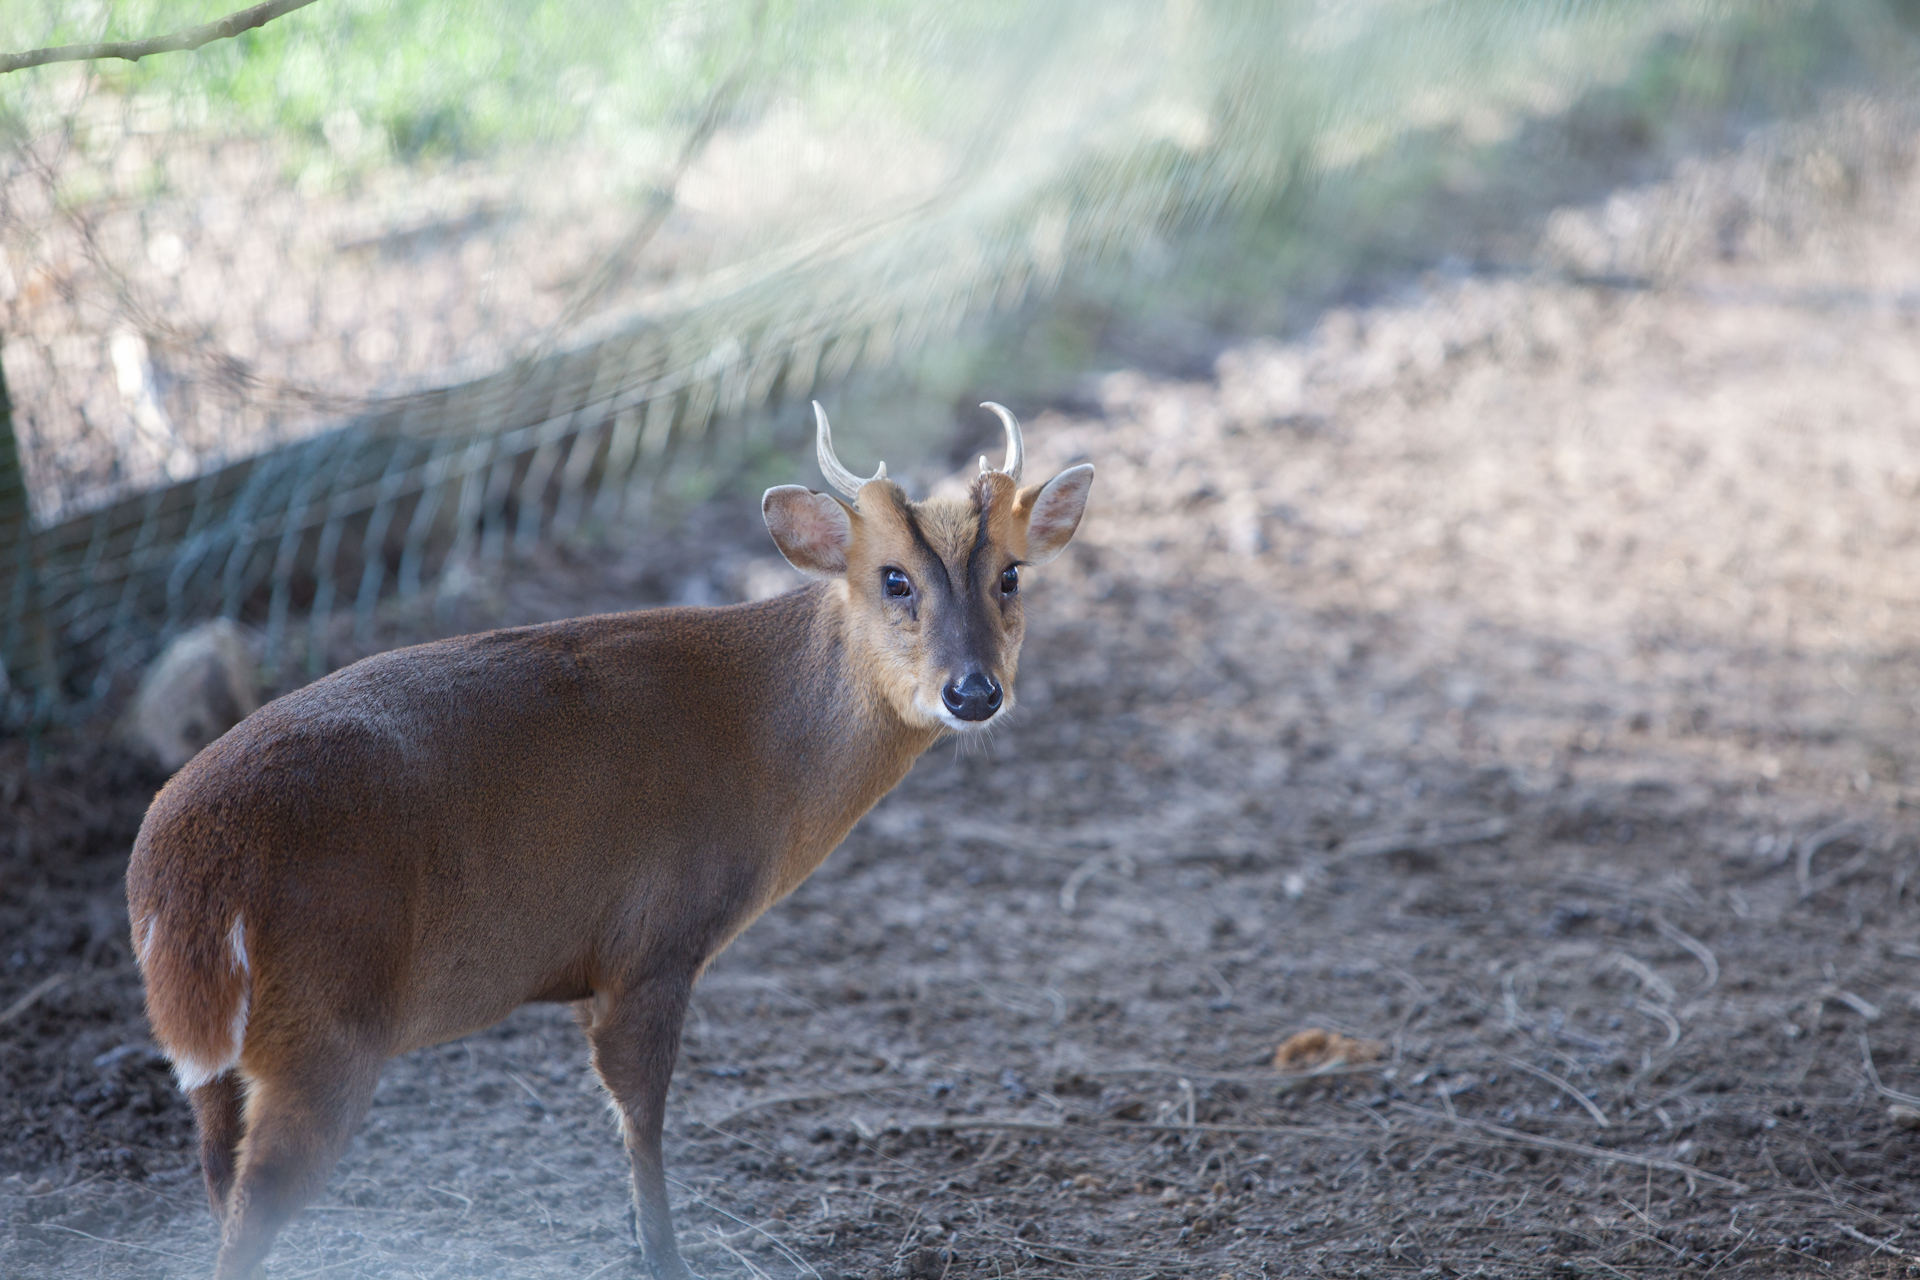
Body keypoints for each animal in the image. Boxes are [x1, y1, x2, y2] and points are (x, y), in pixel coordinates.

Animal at [125, 402, 1094, 1280]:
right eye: (894, 579)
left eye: (1011, 575)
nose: (974, 692)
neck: (764, 743)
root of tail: (178, 873)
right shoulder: (654, 942)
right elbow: (642, 1119)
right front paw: (666, 1256)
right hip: (323, 1025)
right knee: (253, 1204)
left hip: (216, 1059)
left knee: (217, 1176)